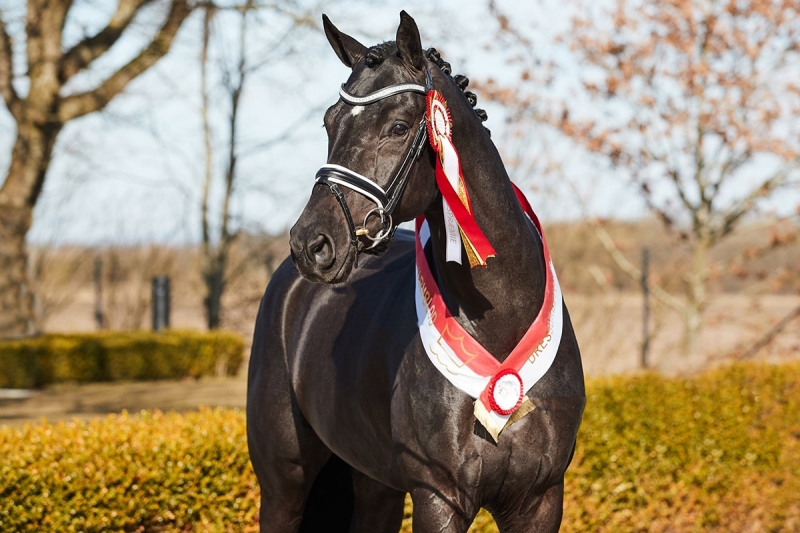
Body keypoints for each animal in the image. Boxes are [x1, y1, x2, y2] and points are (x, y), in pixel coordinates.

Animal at [247, 12, 584, 532]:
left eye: (399, 126)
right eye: (329, 122)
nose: (312, 243)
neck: (500, 324)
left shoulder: (540, 500)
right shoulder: (438, 496)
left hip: (375, 483)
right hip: (283, 484)